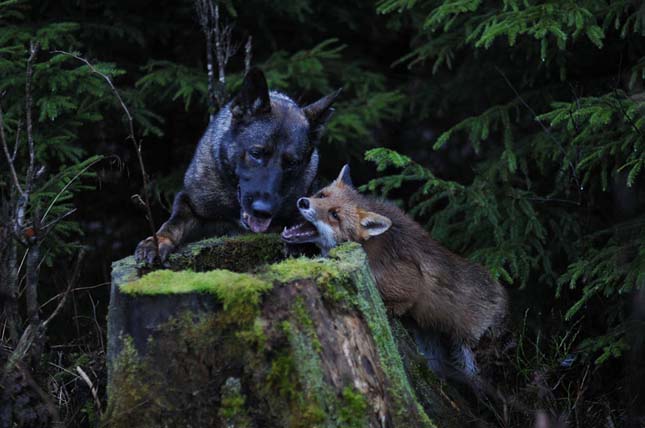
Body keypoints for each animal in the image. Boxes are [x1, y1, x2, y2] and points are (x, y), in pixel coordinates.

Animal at [134, 68, 340, 262]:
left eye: (292, 163)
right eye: (256, 153)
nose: (263, 211)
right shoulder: (189, 202)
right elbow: (173, 222)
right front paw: (158, 241)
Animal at [282, 165, 508, 382]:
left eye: (335, 215)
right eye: (321, 195)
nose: (303, 202)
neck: (368, 248)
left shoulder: (409, 283)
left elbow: (403, 301)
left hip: (467, 346)